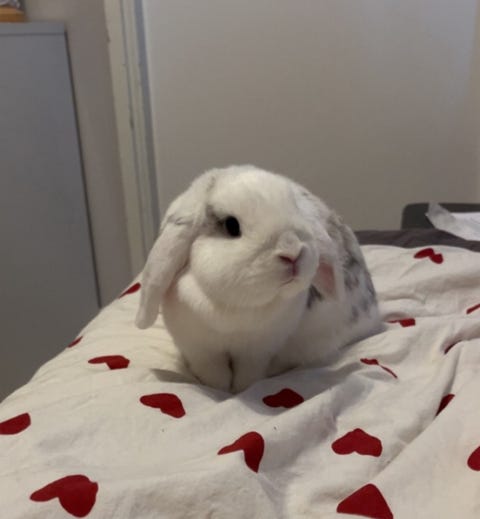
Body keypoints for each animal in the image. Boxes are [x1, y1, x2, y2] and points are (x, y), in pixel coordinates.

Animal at [136, 165, 381, 393]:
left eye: (295, 209)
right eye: (231, 225)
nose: (292, 251)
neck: (236, 309)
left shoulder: (258, 350)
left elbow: (248, 374)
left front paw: (242, 390)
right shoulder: (200, 349)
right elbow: (214, 375)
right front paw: (220, 390)